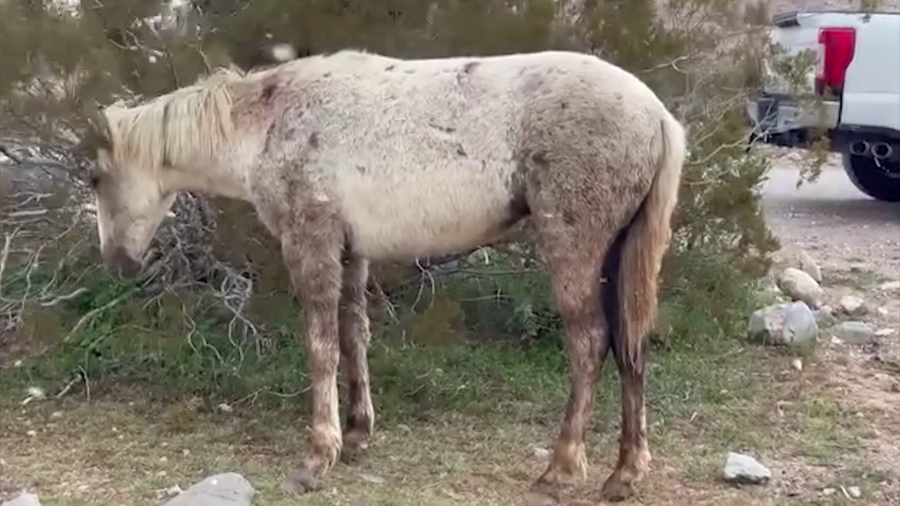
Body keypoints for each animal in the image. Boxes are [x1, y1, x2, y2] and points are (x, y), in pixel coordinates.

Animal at [79, 50, 684, 502]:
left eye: (94, 178)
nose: (117, 262)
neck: (270, 123)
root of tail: (656, 114)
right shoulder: (352, 254)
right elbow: (354, 336)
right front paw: (356, 433)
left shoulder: (312, 244)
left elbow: (321, 345)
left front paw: (316, 457)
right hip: (620, 256)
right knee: (630, 346)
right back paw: (625, 473)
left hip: (574, 250)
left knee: (590, 343)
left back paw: (560, 470)